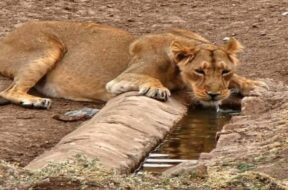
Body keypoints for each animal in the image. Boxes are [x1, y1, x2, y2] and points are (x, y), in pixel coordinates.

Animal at [0, 20, 266, 108]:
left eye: (225, 71)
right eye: (199, 71)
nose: (213, 95)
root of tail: (6, 37)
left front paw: (253, 84)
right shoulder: (120, 78)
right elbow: (148, 78)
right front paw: (156, 88)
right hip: (48, 48)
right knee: (10, 90)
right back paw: (35, 101)